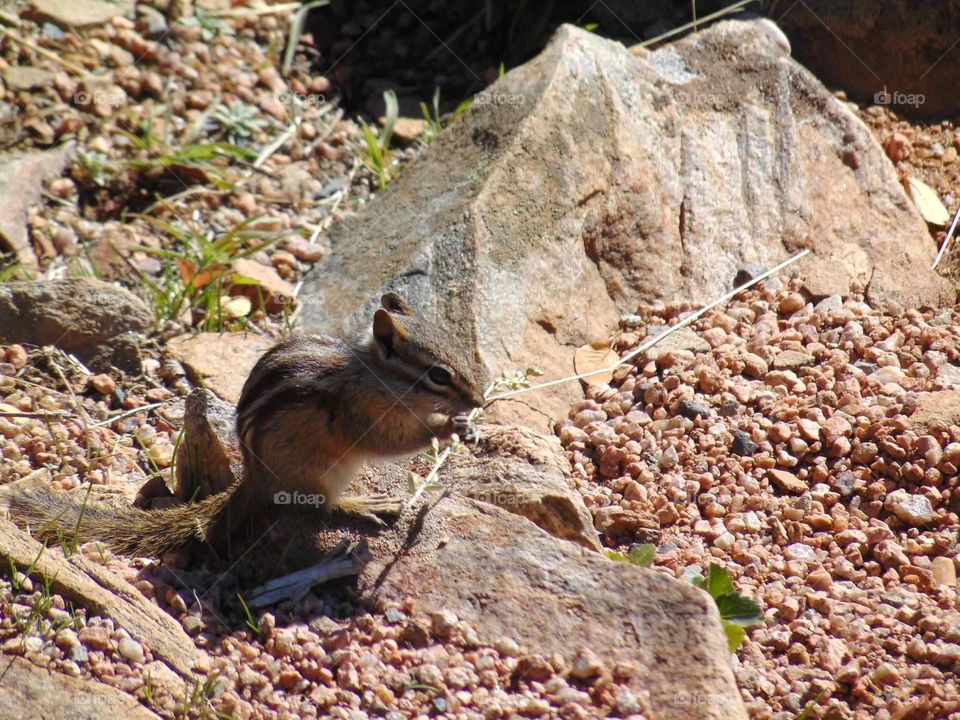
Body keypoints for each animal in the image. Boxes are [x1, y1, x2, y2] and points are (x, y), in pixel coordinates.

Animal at [6, 292, 489, 558]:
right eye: (439, 375)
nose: (480, 400)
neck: (375, 375)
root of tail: (253, 480)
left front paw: (469, 426)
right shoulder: (362, 414)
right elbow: (393, 443)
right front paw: (446, 428)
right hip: (320, 472)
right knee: (317, 507)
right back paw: (364, 504)